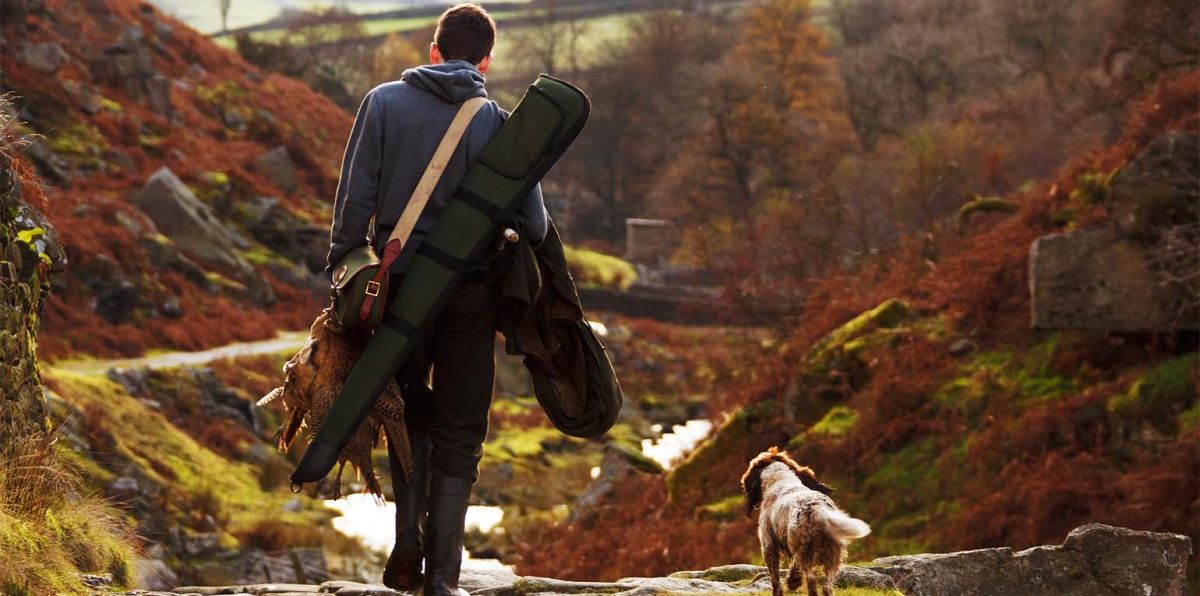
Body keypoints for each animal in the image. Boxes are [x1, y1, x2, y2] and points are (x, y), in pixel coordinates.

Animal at [739, 446, 873, 594]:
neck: (780, 480)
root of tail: (817, 508)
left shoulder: (769, 546)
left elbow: (775, 579)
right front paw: (793, 582)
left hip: (804, 552)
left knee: (811, 580)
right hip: (833, 554)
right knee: (826, 585)